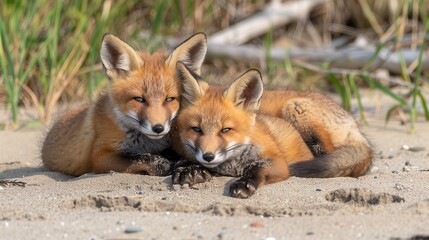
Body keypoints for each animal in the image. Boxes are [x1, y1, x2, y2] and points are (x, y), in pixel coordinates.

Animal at [42, 32, 207, 176]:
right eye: (139, 99)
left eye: (169, 99)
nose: (158, 128)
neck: (146, 143)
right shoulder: (100, 156)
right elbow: (143, 158)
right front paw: (165, 165)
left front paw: (188, 166)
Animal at [172, 62, 372, 199]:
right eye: (196, 129)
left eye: (225, 130)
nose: (208, 156)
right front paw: (190, 169)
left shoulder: (277, 161)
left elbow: (256, 169)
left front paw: (244, 183)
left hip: (295, 109)